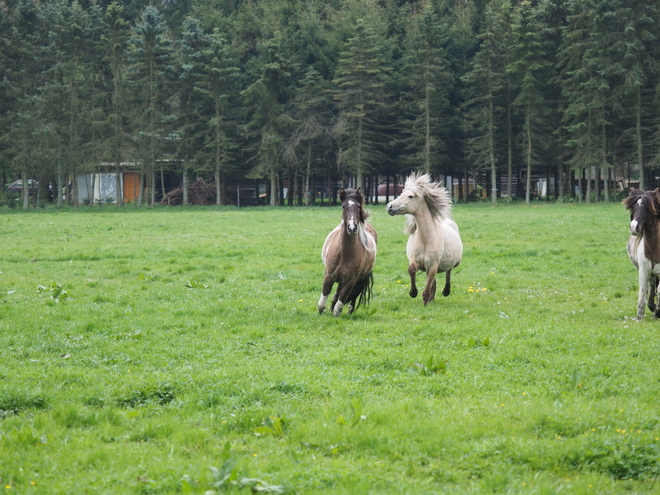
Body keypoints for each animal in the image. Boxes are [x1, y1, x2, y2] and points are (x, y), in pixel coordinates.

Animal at [318, 186, 376, 318]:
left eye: (358, 206)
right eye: (343, 206)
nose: (352, 228)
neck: (344, 254)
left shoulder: (351, 281)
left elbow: (340, 303)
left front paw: (335, 313)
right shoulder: (329, 276)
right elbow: (321, 303)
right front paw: (323, 312)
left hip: (358, 279)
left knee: (352, 295)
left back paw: (349, 311)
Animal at [384, 173, 462, 306]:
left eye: (410, 196)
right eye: (402, 192)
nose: (390, 207)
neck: (426, 239)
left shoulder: (433, 267)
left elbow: (426, 289)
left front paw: (425, 304)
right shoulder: (416, 261)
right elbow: (411, 270)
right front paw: (413, 292)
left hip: (452, 262)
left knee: (449, 271)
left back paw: (446, 291)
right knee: (434, 282)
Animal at [620, 188, 660, 320]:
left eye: (647, 208)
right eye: (633, 208)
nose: (634, 227)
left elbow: (659, 290)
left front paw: (657, 312)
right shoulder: (643, 270)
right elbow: (643, 291)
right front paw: (640, 316)